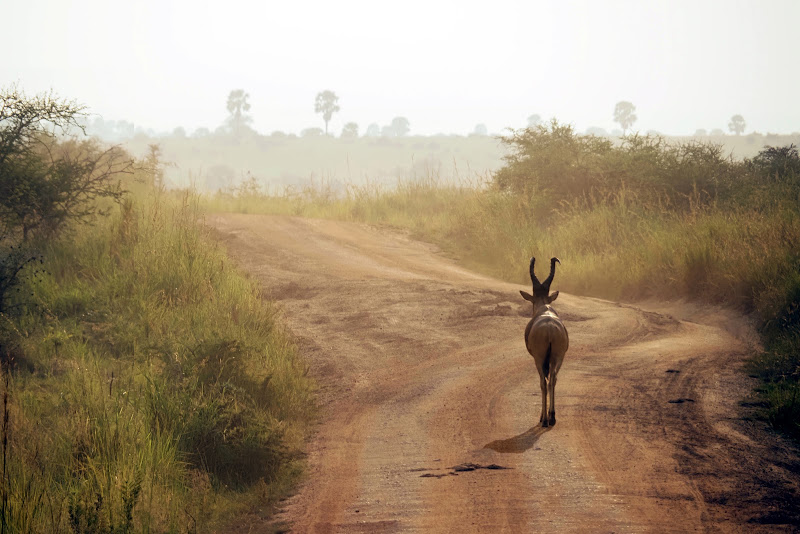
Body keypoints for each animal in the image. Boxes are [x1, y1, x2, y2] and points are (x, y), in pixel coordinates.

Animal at [520, 258, 568, 430]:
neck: (544, 308)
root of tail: (549, 328)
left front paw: (542, 417)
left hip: (539, 359)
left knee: (544, 382)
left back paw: (545, 419)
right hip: (558, 357)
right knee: (553, 379)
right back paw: (552, 417)